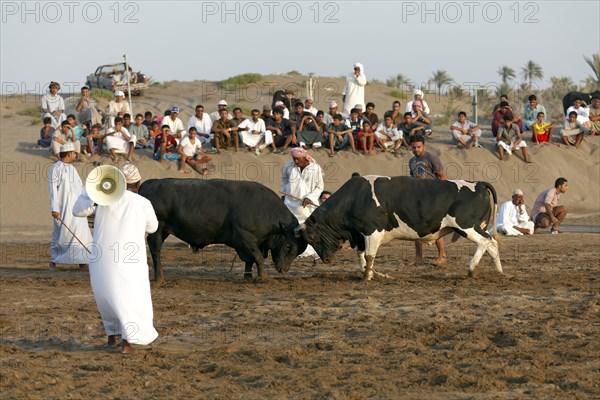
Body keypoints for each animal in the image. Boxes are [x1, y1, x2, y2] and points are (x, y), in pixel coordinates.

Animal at [138, 178, 308, 282]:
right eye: (288, 246)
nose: (284, 270)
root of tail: (150, 183)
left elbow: (250, 260)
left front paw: (248, 277)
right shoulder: (245, 237)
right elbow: (258, 258)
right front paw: (263, 278)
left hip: (164, 230)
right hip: (157, 230)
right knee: (156, 250)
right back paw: (159, 278)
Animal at [296, 177, 502, 280]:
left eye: (313, 238)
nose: (326, 259)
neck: (356, 197)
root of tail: (478, 183)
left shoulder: (372, 231)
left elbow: (369, 255)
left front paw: (367, 277)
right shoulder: (360, 234)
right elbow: (362, 256)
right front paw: (371, 273)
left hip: (467, 226)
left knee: (486, 241)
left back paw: (472, 269)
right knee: (491, 244)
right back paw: (499, 272)